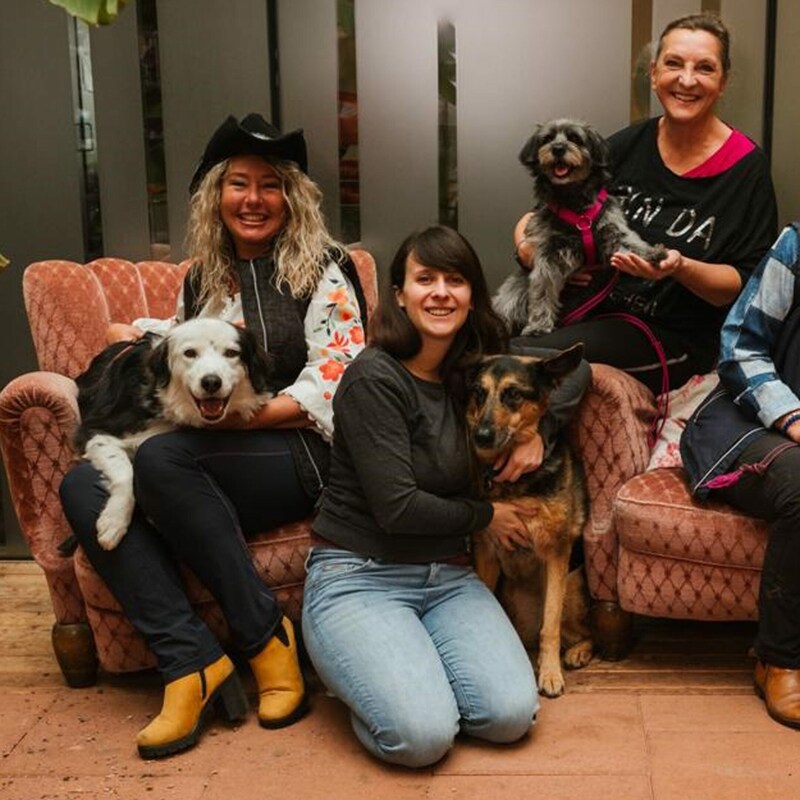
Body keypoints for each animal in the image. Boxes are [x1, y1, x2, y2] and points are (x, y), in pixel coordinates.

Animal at [76, 318, 276, 552]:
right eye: (189, 353)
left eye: (231, 353)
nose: (211, 382)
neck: (165, 402)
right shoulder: (95, 430)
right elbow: (125, 472)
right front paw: (114, 521)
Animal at [462, 346, 592, 696]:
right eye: (478, 392)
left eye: (514, 395)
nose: (481, 436)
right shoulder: (486, 553)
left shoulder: (556, 555)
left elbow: (551, 626)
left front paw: (550, 674)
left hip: (572, 590)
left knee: (580, 633)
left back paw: (576, 653)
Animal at [494, 117, 668, 336]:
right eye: (547, 139)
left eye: (575, 138)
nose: (558, 148)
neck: (575, 205)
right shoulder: (549, 253)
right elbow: (543, 288)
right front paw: (539, 325)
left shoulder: (611, 229)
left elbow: (631, 243)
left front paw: (652, 253)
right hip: (511, 297)